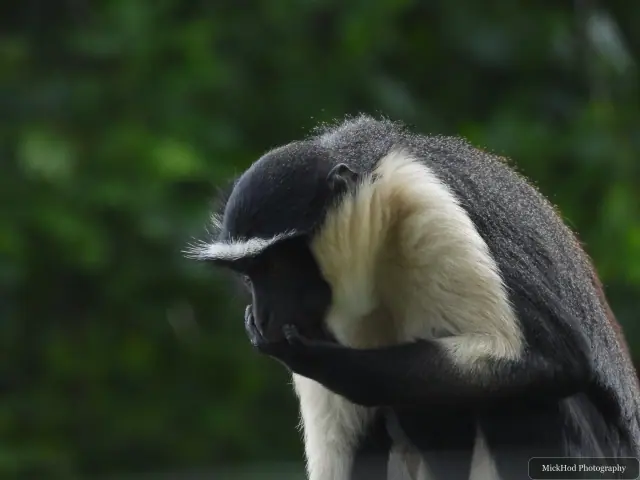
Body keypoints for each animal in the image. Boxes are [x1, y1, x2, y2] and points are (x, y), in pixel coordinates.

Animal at [186, 115, 640, 480]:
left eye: (276, 267)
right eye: (248, 275)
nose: (263, 316)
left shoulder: (425, 199)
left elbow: (551, 356)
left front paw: (313, 357)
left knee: (525, 397)